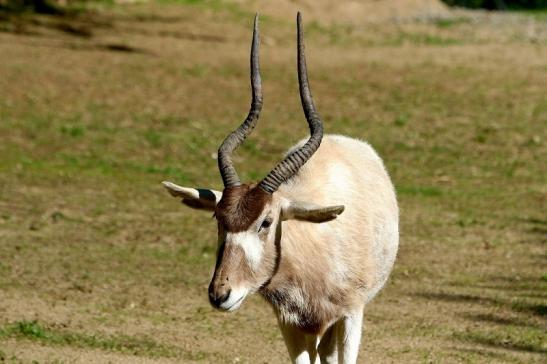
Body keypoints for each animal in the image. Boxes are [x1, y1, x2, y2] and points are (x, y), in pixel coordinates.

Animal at [162, 12, 398, 364]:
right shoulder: (288, 322)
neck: (314, 241)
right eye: (218, 219)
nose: (220, 294)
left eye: (267, 222)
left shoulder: (352, 313)